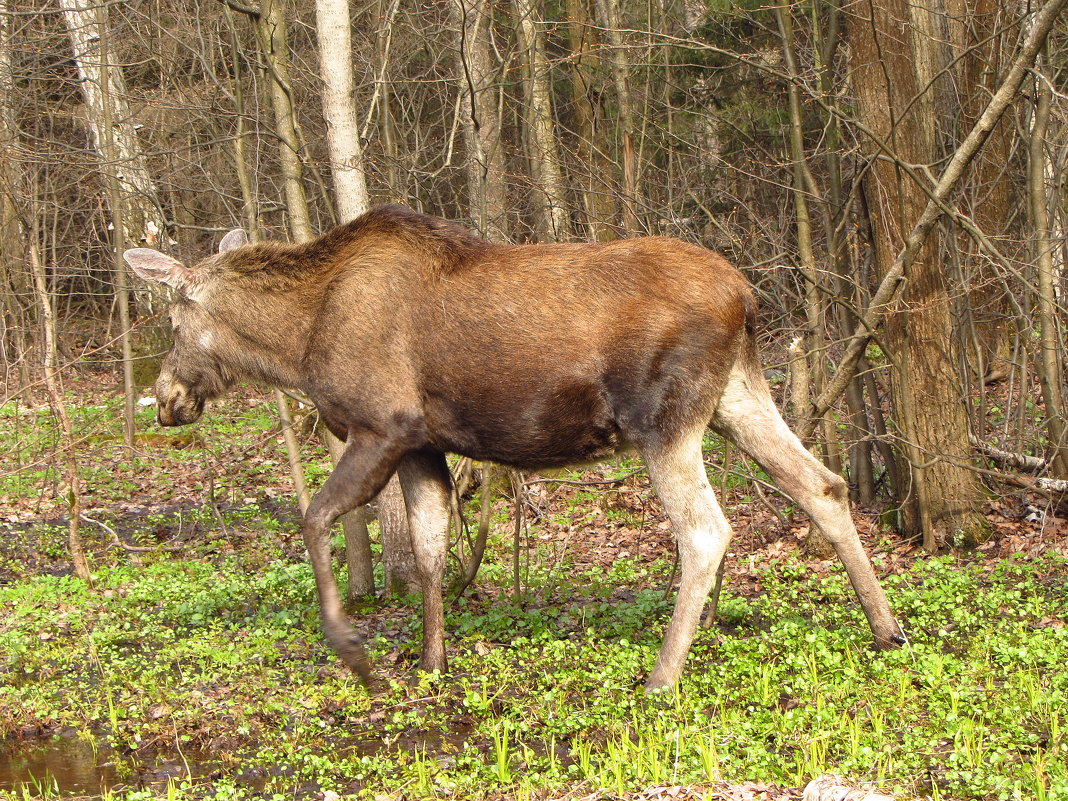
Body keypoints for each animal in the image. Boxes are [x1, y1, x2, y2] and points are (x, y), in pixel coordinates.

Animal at [127, 205, 909, 692]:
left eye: (174, 318)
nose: (165, 396)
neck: (296, 341)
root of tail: (747, 296)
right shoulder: (422, 443)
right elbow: (432, 548)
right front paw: (432, 660)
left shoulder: (381, 425)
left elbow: (315, 518)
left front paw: (355, 653)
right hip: (735, 397)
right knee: (823, 484)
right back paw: (887, 628)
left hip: (665, 417)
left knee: (706, 529)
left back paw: (661, 675)